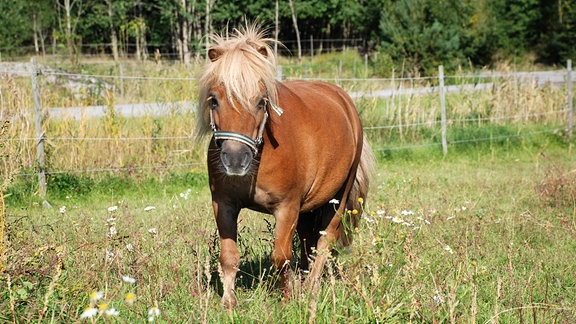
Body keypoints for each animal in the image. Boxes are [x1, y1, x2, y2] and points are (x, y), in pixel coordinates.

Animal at [196, 24, 376, 306]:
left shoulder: (287, 207)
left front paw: (287, 299)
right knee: (307, 240)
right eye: (214, 100)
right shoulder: (223, 204)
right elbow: (229, 257)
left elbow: (281, 257)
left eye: (261, 101)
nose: (235, 160)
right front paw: (228, 302)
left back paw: (311, 287)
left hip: (339, 196)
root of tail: (344, 100)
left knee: (324, 241)